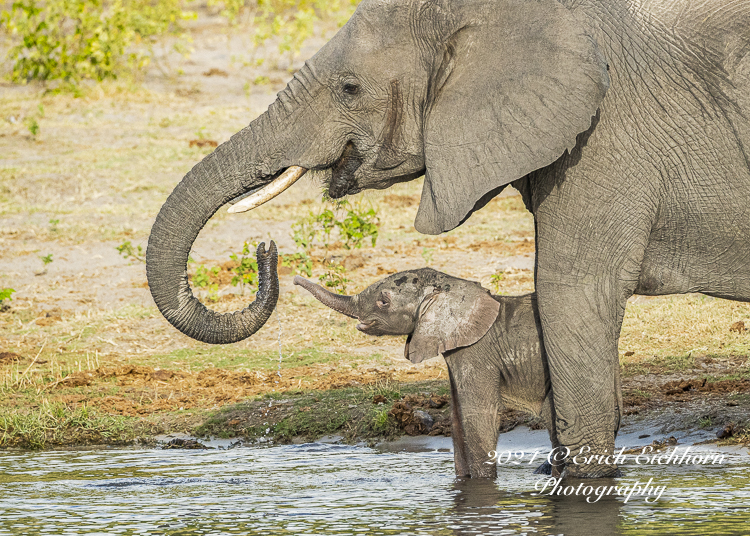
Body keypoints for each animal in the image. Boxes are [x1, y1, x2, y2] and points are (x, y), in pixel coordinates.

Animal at [296, 268, 560, 478]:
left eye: (384, 302)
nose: (295, 279)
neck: (450, 288)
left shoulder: (475, 353)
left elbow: (478, 416)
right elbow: (457, 418)